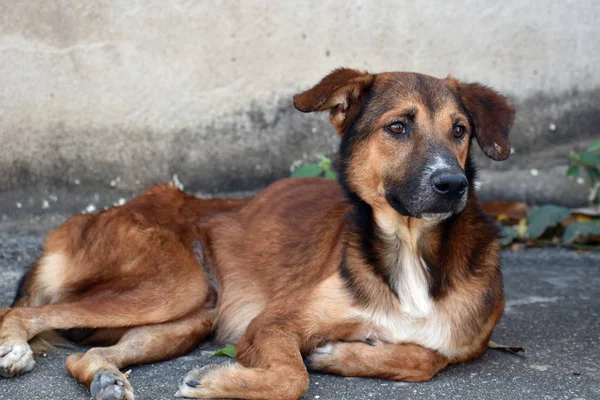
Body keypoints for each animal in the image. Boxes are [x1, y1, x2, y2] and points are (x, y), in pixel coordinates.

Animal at [1, 69, 516, 400]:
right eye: (397, 126)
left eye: (459, 130)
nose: (453, 184)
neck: (408, 248)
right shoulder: (272, 323)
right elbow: (292, 378)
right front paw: (219, 384)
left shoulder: (463, 343)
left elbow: (426, 358)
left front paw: (340, 353)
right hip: (174, 284)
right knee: (21, 310)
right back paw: (15, 348)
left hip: (194, 315)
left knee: (83, 355)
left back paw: (106, 379)